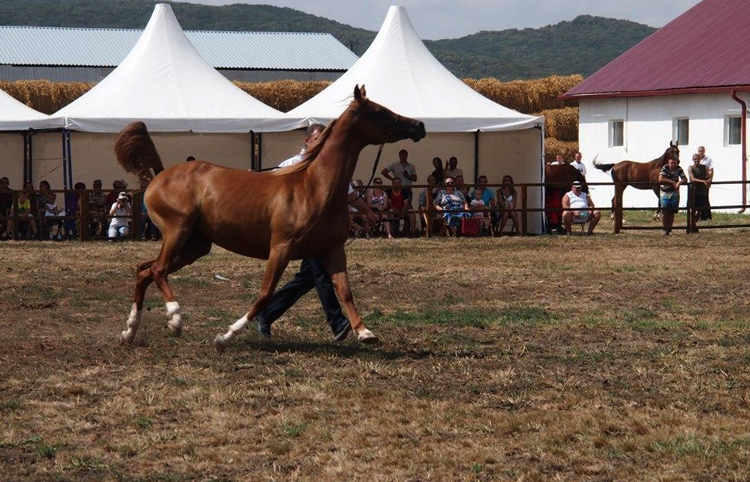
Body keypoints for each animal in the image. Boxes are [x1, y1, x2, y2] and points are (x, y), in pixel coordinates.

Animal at [114, 85, 426, 350]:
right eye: (380, 111)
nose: (419, 126)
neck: (314, 186)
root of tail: (159, 176)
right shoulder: (281, 248)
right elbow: (265, 294)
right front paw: (225, 337)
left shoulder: (333, 250)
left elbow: (345, 291)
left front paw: (365, 332)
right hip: (177, 231)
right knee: (157, 270)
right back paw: (175, 319)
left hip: (195, 245)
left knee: (144, 270)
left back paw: (129, 331)